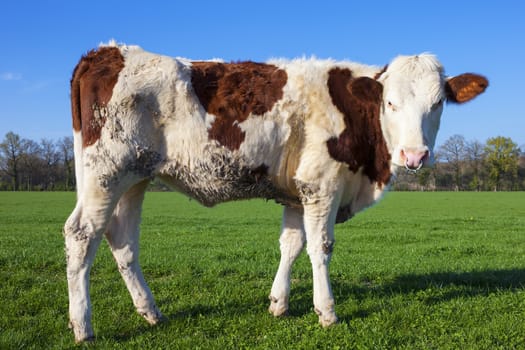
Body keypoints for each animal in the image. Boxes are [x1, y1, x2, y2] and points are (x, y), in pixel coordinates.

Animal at [64, 43, 488, 342]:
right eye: (390, 102)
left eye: (438, 103)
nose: (414, 155)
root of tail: (107, 51)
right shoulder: (322, 185)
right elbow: (320, 247)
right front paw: (326, 311)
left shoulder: (297, 192)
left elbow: (291, 244)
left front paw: (279, 303)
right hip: (106, 171)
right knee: (81, 234)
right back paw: (83, 325)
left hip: (135, 177)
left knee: (122, 241)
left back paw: (150, 311)